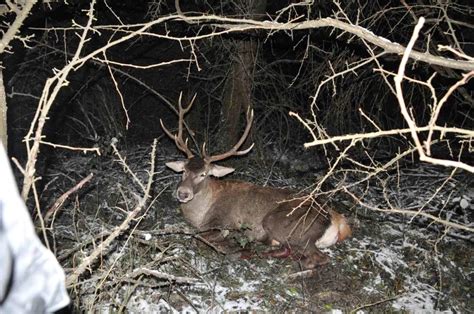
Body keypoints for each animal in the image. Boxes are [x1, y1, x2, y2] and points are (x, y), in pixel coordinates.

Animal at [161, 95, 350, 268]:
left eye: (204, 174)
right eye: (184, 170)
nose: (183, 193)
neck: (199, 215)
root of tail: (337, 221)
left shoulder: (223, 221)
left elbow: (199, 237)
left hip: (282, 223)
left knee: (316, 257)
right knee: (291, 250)